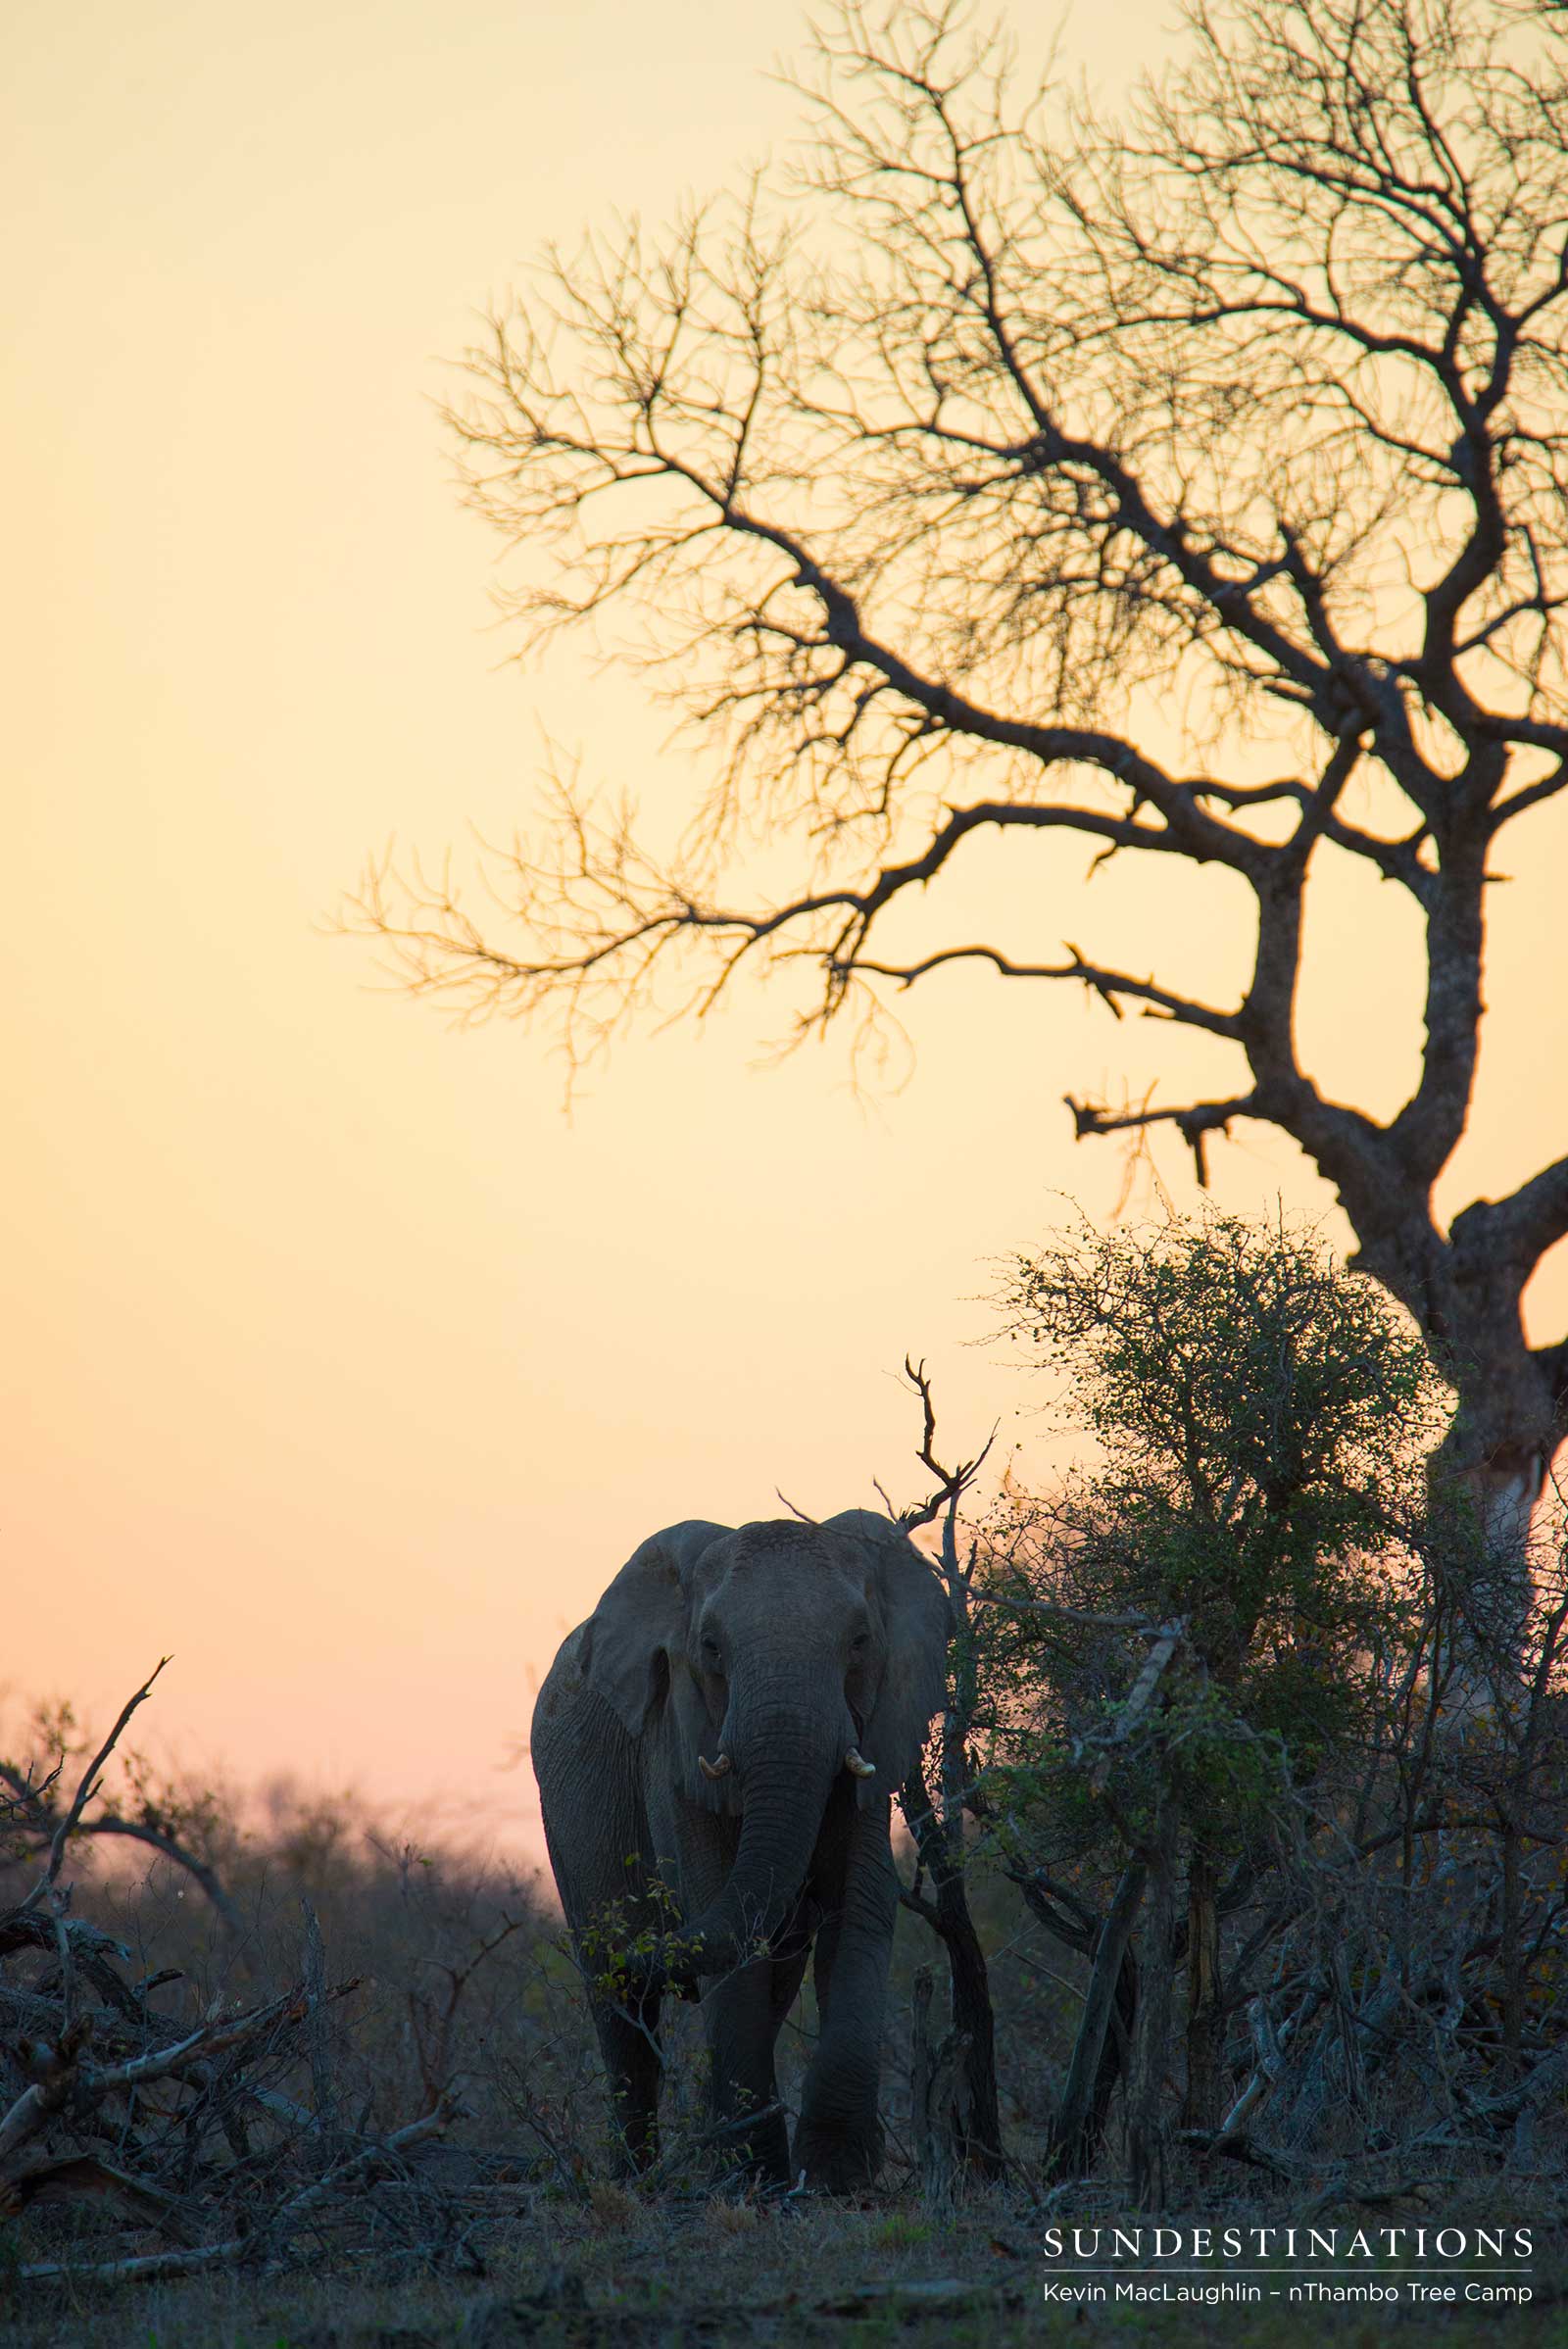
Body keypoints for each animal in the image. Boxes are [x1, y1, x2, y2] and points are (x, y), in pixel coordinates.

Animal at [531, 1509, 951, 2191]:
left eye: (860, 1641)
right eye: (710, 1647)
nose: (643, 1948)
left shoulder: (876, 1736)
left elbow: (859, 1915)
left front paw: (836, 2183)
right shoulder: (674, 1744)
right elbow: (721, 1913)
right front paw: (754, 2181)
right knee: (620, 2008)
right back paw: (635, 2180)